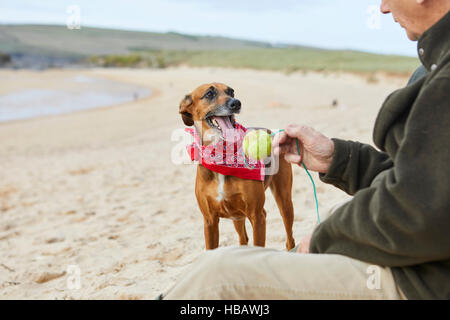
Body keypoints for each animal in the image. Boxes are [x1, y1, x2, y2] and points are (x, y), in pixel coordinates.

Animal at [179, 84, 296, 251]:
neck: (222, 158)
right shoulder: (209, 221)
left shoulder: (257, 216)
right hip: (237, 216)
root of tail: (272, 132)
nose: (236, 103)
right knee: (243, 239)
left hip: (284, 201)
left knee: (289, 238)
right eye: (209, 94)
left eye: (231, 92)